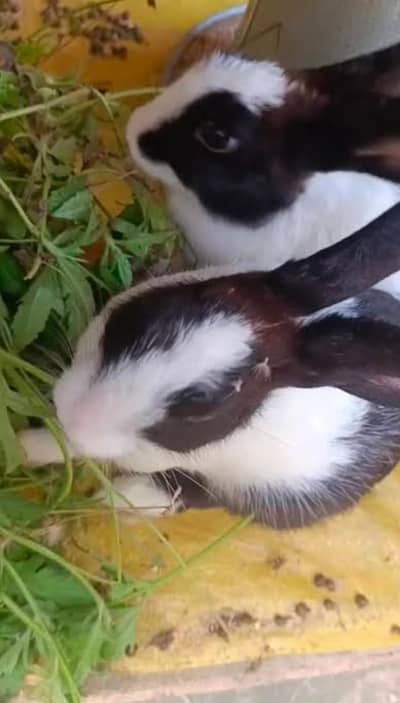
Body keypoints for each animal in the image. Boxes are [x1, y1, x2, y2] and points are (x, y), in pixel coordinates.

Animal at [17, 202, 400, 529]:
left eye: (204, 412)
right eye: (152, 315)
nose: (76, 415)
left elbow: (69, 446)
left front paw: (24, 452)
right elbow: (56, 440)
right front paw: (24, 446)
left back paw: (119, 498)